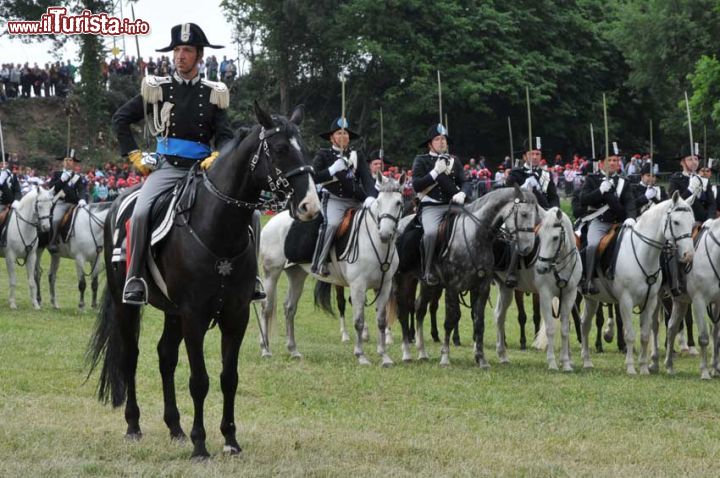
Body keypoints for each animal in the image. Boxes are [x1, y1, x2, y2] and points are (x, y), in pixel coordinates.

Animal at [86, 103, 320, 460]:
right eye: (280, 149)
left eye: (304, 149)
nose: (310, 207)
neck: (217, 227)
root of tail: (116, 205)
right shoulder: (194, 316)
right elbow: (200, 380)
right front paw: (200, 444)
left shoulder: (235, 316)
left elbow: (229, 377)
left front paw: (229, 439)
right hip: (128, 305)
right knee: (131, 356)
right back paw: (134, 425)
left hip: (172, 312)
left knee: (165, 356)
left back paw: (175, 428)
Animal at [258, 174, 404, 364]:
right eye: (379, 202)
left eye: (398, 203)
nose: (385, 234)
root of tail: (273, 221)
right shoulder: (358, 286)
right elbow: (359, 321)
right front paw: (361, 355)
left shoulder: (384, 286)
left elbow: (381, 321)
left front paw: (385, 357)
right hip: (271, 273)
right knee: (266, 308)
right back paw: (265, 349)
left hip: (296, 274)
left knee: (289, 308)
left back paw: (293, 350)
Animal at [496, 207, 580, 372]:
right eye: (539, 237)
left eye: (555, 238)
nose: (541, 268)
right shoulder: (545, 296)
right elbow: (550, 328)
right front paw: (552, 363)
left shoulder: (569, 295)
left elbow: (565, 329)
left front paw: (566, 363)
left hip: (506, 289)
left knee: (499, 316)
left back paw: (502, 355)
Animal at [584, 192, 696, 376]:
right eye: (676, 222)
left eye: (692, 223)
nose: (689, 255)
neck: (642, 253)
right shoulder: (626, 301)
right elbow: (630, 334)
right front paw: (630, 367)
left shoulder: (650, 301)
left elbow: (645, 334)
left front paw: (644, 367)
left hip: (591, 299)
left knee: (584, 324)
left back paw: (586, 361)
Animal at [660, 218, 720, 380]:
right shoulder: (699, 302)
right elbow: (704, 337)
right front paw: (705, 372)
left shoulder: (717, 303)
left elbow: (716, 334)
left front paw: (715, 368)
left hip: (679, 302)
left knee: (671, 328)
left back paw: (669, 366)